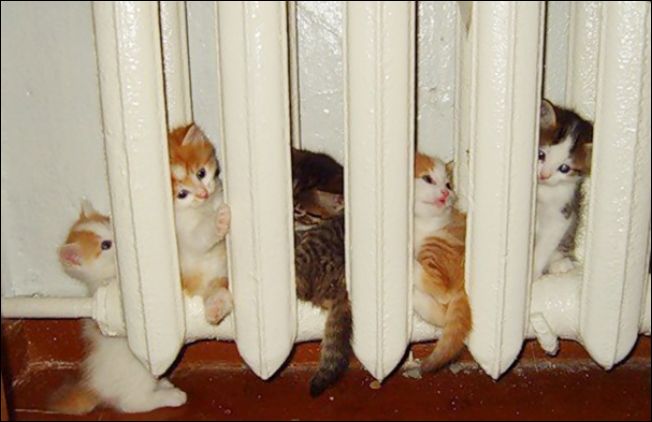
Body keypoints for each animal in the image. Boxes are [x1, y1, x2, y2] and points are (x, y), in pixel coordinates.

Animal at [52, 201, 187, 414]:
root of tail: (95, 386)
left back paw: (163, 384)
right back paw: (170, 397)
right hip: (139, 373)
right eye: (105, 245)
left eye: (109, 222)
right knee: (132, 403)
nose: (119, 235)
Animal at [168, 123, 232, 325]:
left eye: (201, 173)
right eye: (182, 194)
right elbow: (199, 237)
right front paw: (219, 219)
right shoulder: (183, 232)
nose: (203, 193)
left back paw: (217, 307)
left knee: (219, 287)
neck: (203, 208)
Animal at [413, 152, 472, 372]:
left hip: (435, 245)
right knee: (443, 314)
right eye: (428, 179)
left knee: (442, 289)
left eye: (448, 184)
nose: (446, 193)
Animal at [533, 99, 593, 279]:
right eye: (541, 155)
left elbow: (546, 243)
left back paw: (560, 264)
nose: (544, 175)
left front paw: (532, 272)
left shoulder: (563, 211)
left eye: (564, 168)